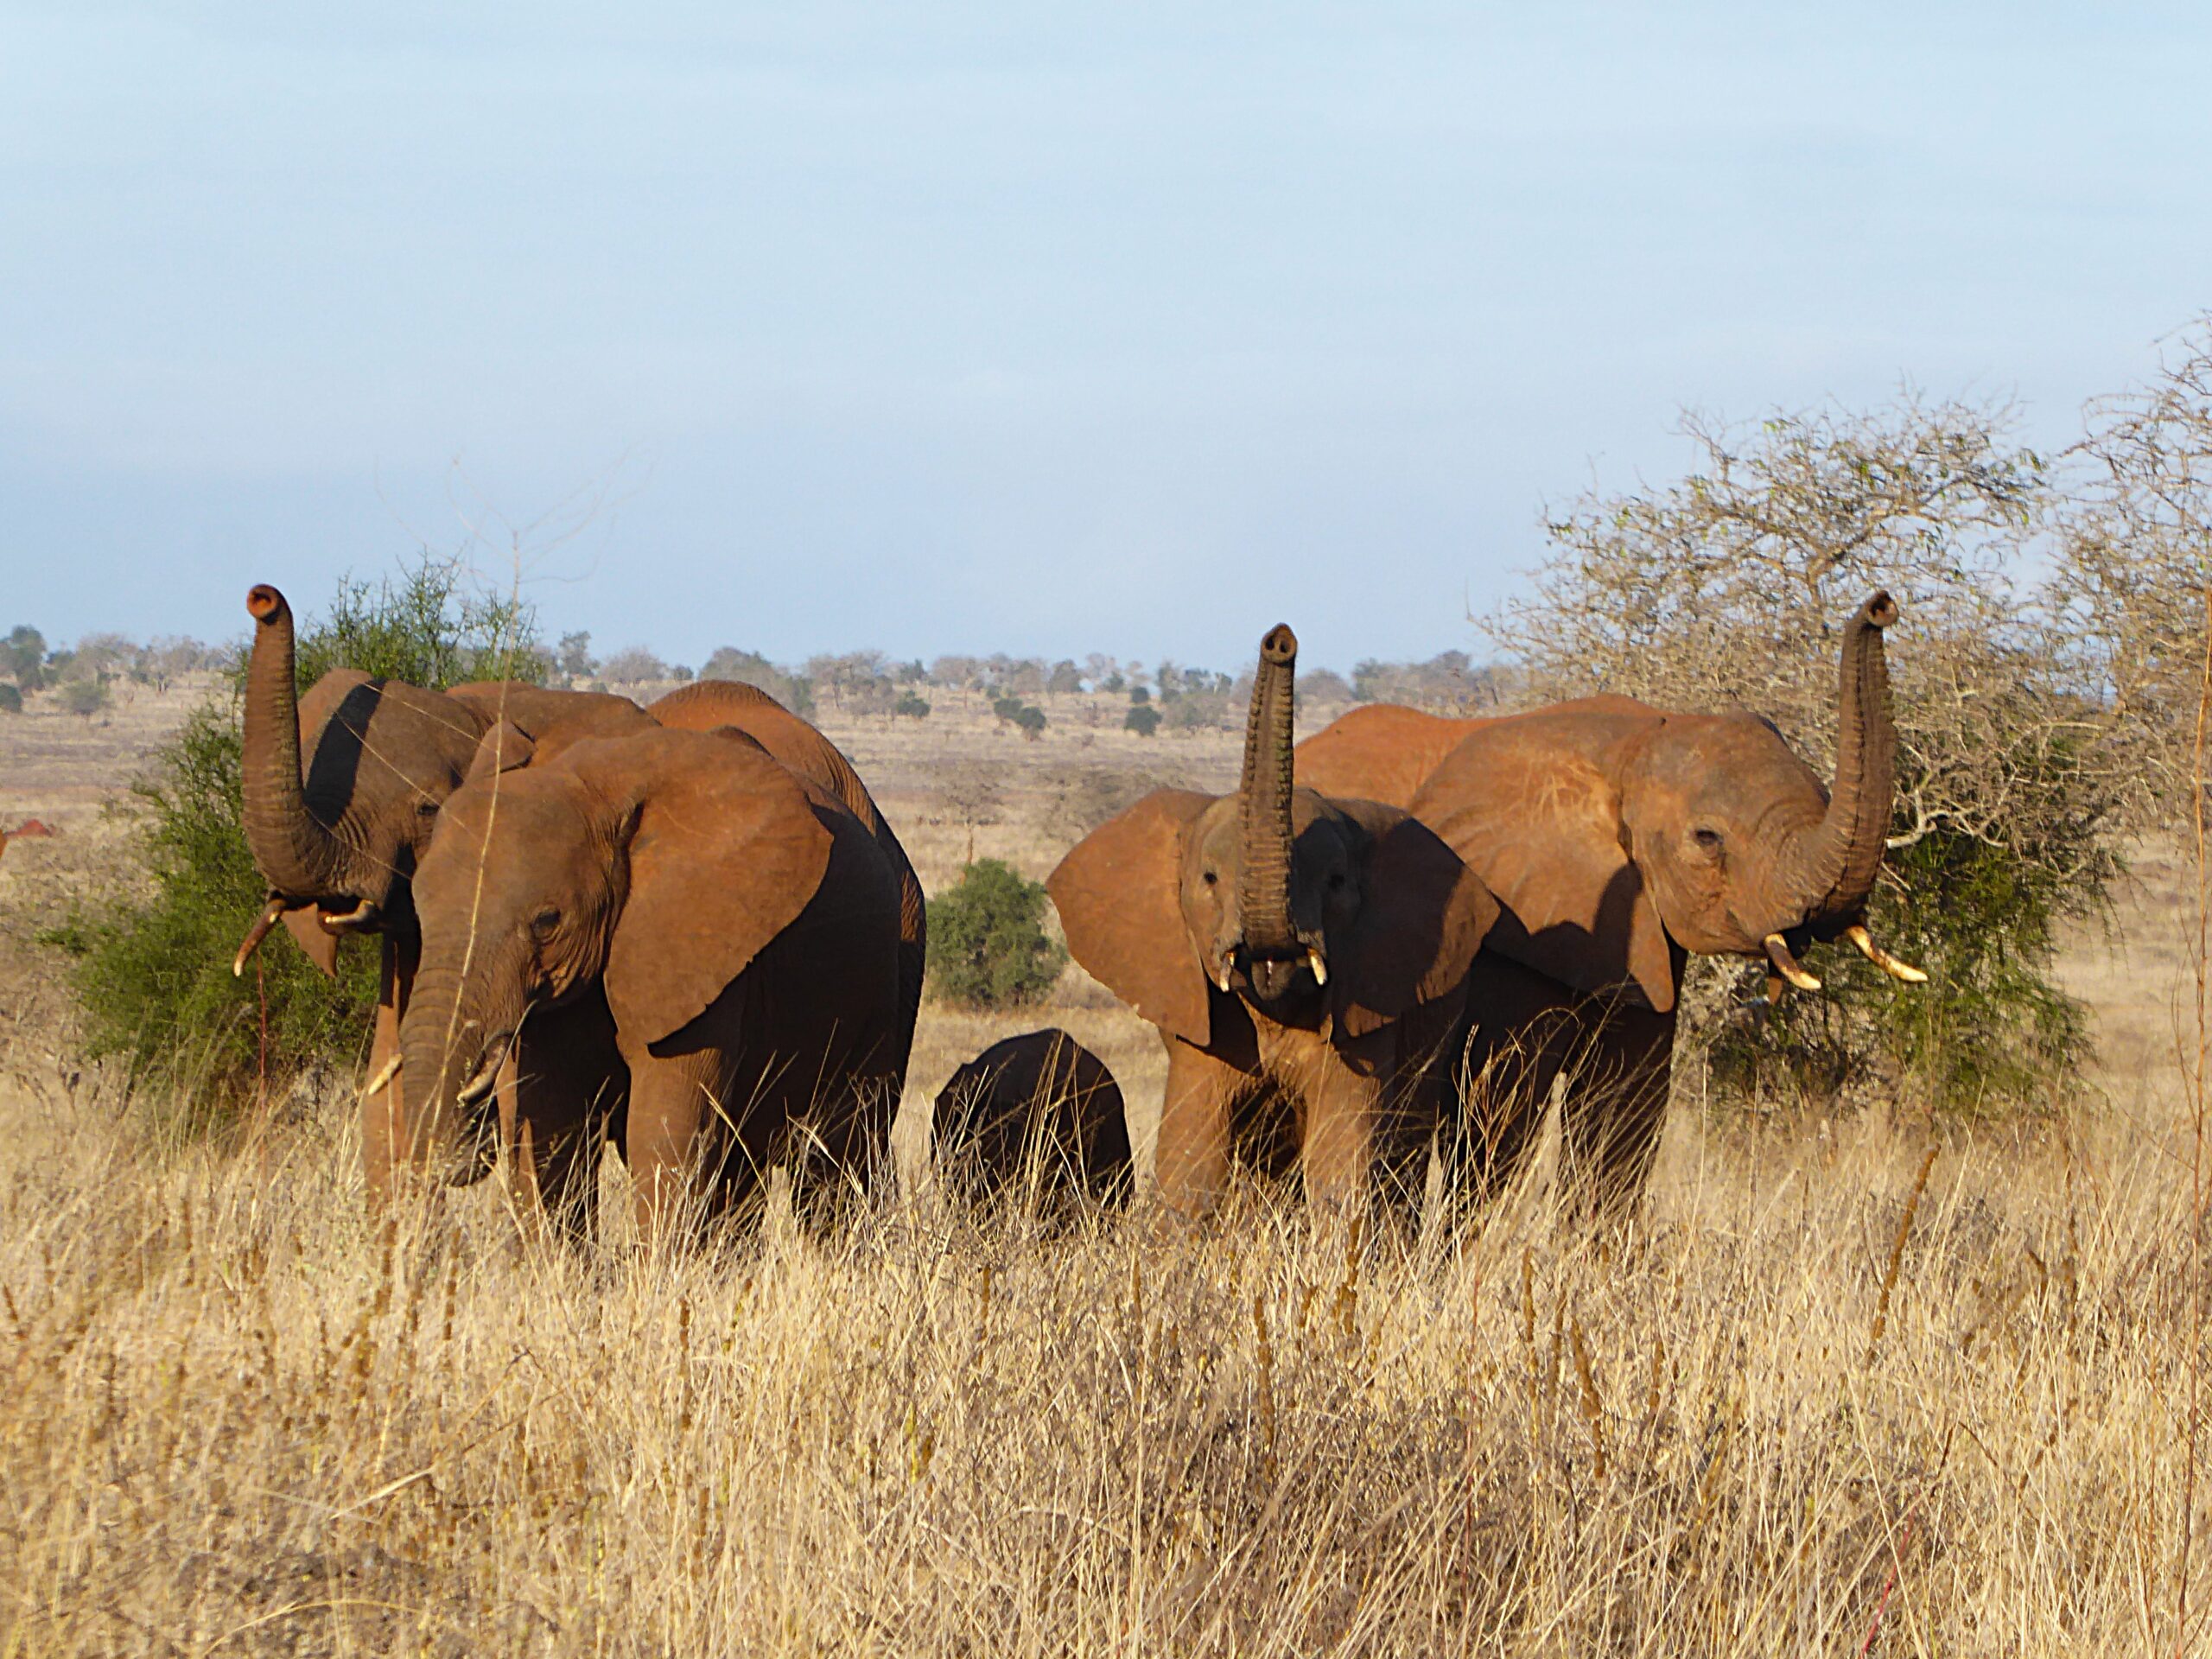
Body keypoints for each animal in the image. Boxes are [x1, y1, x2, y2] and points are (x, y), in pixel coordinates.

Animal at [393, 722, 905, 1242]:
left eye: (546, 922)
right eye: (419, 908)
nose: (467, 1145)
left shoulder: (703, 939)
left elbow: (664, 1129)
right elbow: (553, 1123)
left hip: (887, 971)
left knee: (838, 1156)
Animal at [1295, 590, 1925, 1215]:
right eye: (1707, 838)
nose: (1882, 606)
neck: (1633, 745)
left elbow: (1626, 1105)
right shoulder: (1512, 926)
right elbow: (1501, 1102)